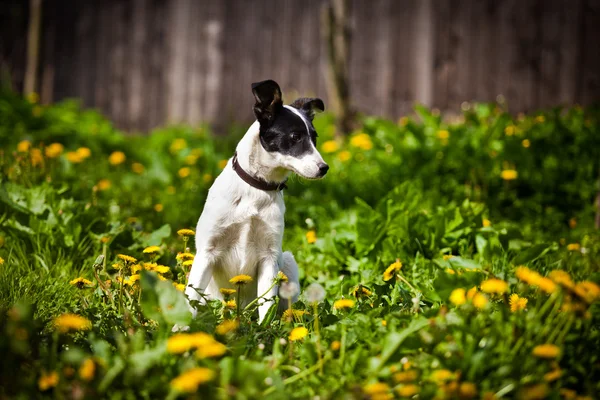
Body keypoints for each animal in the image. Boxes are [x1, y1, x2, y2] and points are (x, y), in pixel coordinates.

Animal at [185, 80, 330, 322]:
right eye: (295, 137)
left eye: (315, 137)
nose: (324, 168)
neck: (256, 189)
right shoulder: (207, 252)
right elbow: (190, 300)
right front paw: (180, 328)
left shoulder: (269, 257)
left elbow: (267, 305)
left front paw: (264, 330)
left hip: (287, 262)